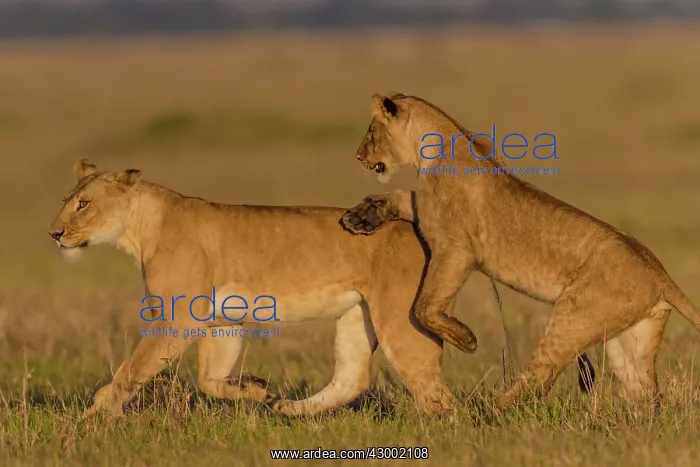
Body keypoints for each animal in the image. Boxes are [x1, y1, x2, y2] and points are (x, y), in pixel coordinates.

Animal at [340, 92, 700, 408]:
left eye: (371, 131)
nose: (357, 156)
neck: (428, 151)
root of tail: (658, 271)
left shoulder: (456, 251)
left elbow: (423, 307)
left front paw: (466, 339)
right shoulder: (429, 217)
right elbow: (403, 197)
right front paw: (361, 216)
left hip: (574, 316)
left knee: (542, 375)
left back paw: (489, 413)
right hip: (628, 340)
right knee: (647, 395)